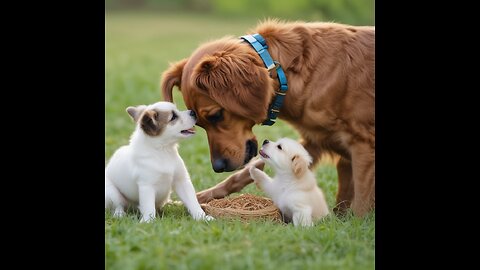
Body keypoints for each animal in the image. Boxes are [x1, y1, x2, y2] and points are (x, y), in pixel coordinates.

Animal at [161, 19, 376, 217]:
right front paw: (195, 200)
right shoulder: (316, 140)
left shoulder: (363, 145)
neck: (286, 73)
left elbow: (361, 203)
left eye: (216, 115)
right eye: (199, 123)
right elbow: (244, 173)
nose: (218, 167)